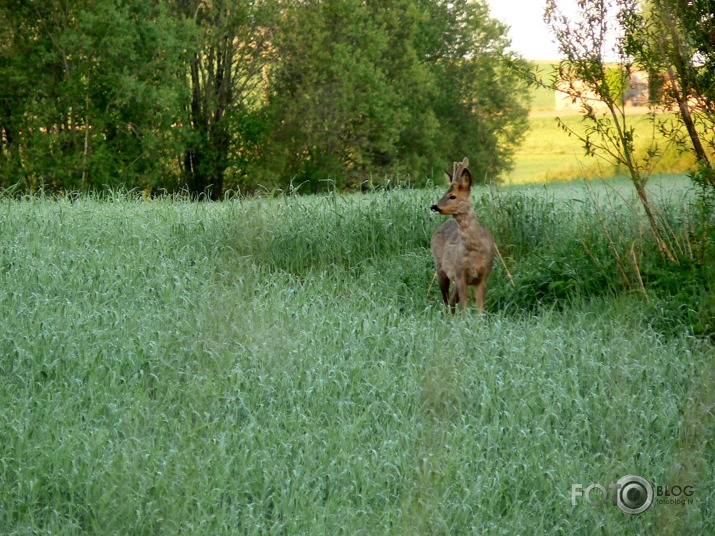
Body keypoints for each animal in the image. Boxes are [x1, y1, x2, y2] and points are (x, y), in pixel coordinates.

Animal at [430, 157, 498, 312]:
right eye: (443, 194)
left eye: (452, 196)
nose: (434, 206)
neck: (475, 249)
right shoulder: (460, 274)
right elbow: (464, 309)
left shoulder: (483, 276)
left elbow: (480, 311)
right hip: (441, 268)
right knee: (446, 300)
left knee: (451, 300)